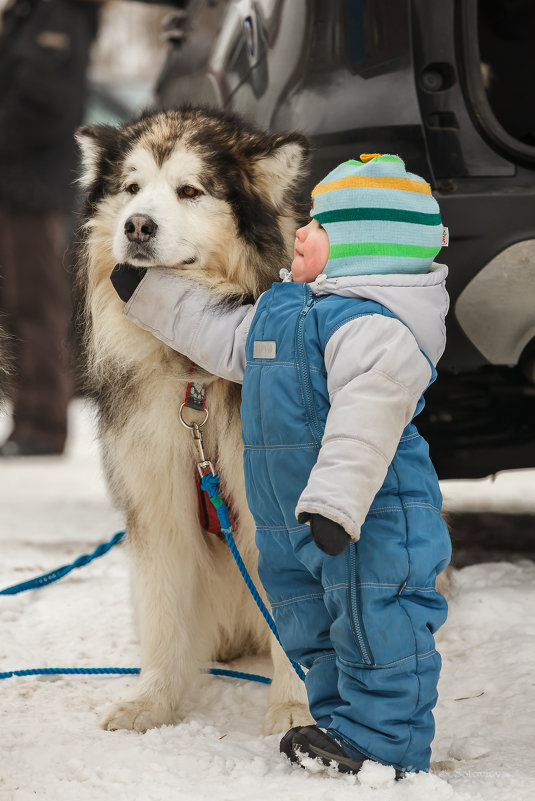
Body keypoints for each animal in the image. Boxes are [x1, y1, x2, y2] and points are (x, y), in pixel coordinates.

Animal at [73, 109, 312, 736]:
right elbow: (164, 615)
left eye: (190, 190)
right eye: (131, 187)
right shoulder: (157, 498)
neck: (193, 373)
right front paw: (152, 702)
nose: (136, 225)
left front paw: (296, 712)